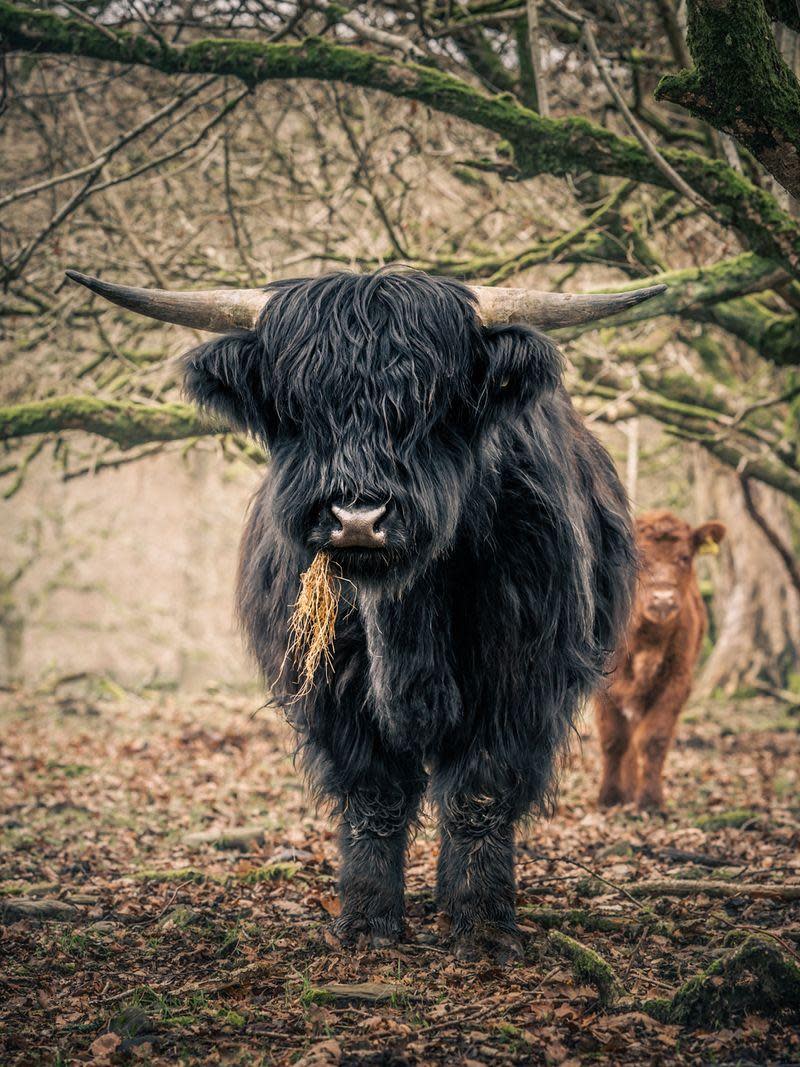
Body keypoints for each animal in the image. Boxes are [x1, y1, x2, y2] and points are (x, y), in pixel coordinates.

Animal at [65, 266, 665, 960]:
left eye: (433, 405)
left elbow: (480, 791)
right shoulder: (333, 689)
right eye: (298, 407)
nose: (357, 518)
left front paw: (484, 926)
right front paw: (366, 924)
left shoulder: (522, 677)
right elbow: (374, 794)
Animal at [597, 507, 725, 806]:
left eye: (684, 557)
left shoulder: (677, 682)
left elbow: (653, 739)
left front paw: (650, 799)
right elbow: (613, 740)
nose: (663, 599)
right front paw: (610, 796)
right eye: (640, 558)